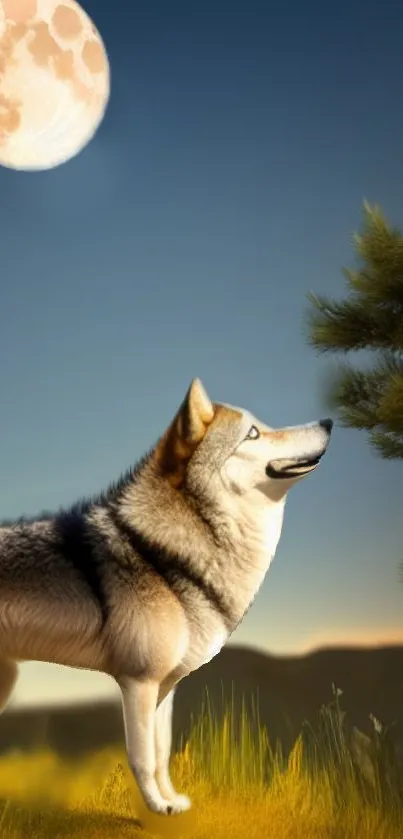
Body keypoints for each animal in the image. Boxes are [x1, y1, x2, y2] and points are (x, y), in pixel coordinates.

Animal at [0, 378, 334, 812]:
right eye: (253, 433)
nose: (328, 421)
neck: (160, 550)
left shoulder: (164, 689)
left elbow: (162, 754)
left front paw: (172, 801)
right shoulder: (138, 682)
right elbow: (142, 757)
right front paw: (158, 808)